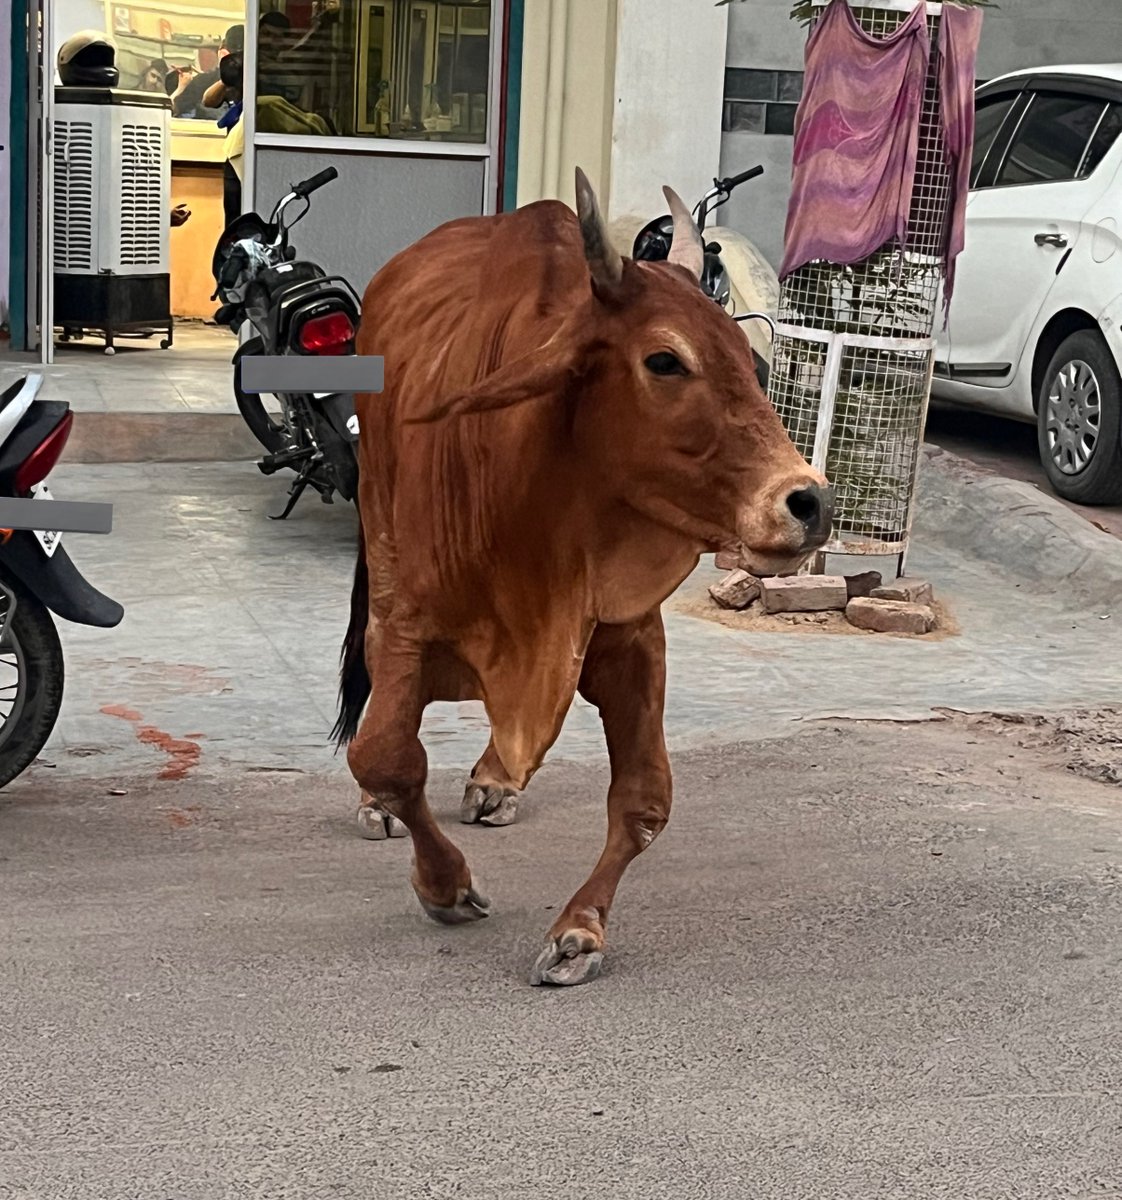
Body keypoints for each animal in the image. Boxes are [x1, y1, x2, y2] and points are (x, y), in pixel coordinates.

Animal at [336, 169, 835, 984]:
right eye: (665, 361)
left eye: (746, 356)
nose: (810, 503)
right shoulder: (407, 623)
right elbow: (386, 757)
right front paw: (446, 886)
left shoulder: (630, 637)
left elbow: (644, 800)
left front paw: (579, 931)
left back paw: (495, 781)